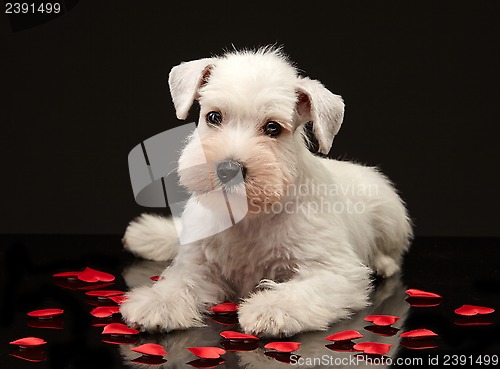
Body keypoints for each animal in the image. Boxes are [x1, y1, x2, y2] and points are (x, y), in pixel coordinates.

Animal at [120, 46, 410, 336]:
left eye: (273, 127)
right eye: (213, 117)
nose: (228, 170)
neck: (249, 216)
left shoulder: (335, 272)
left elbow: (302, 291)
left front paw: (271, 308)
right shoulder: (197, 264)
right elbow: (180, 282)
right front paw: (157, 302)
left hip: (388, 214)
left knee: (391, 252)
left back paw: (382, 263)